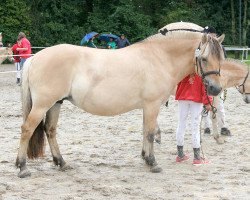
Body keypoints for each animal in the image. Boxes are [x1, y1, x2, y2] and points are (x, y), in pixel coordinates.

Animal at [15, 22, 225, 178]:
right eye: (204, 58)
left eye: (221, 58)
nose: (215, 89)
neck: (160, 57)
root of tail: (35, 57)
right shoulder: (152, 105)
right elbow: (150, 133)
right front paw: (153, 163)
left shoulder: (147, 107)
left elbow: (145, 131)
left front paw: (145, 158)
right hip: (42, 105)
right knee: (27, 129)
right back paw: (22, 167)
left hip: (55, 104)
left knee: (50, 130)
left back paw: (62, 163)